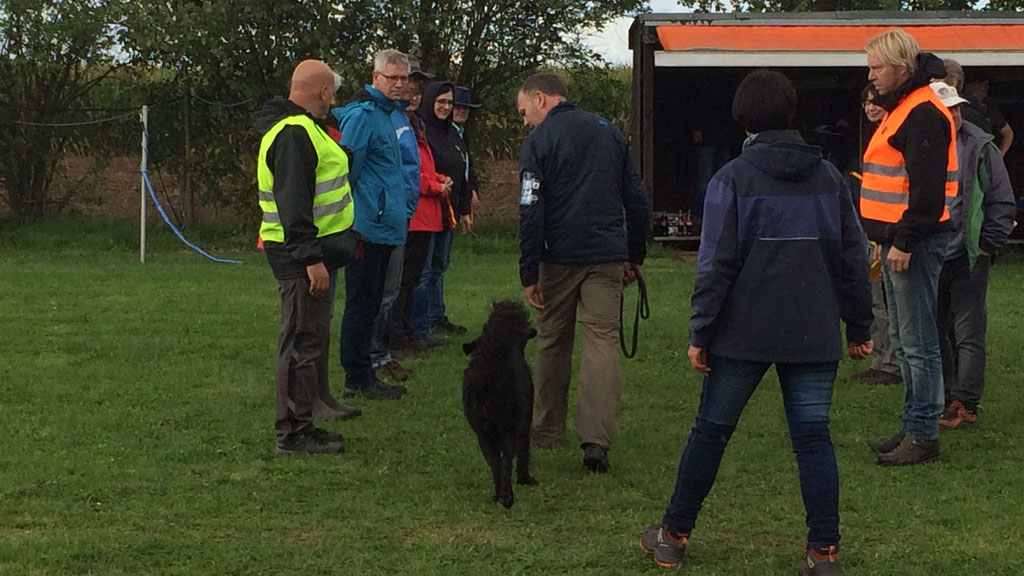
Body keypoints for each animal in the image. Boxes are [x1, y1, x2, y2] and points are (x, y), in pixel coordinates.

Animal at [462, 297, 540, 504]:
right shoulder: (524, 421)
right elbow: (522, 451)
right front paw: (524, 479)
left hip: (483, 433)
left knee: (495, 463)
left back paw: (498, 495)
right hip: (508, 428)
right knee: (506, 461)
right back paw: (507, 497)